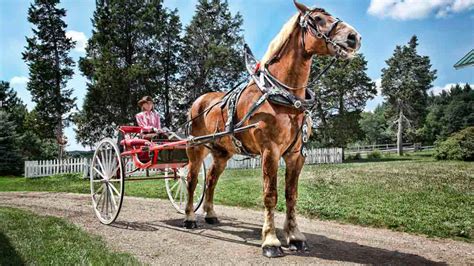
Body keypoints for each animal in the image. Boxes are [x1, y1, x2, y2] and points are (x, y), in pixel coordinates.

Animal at [183, 0, 362, 258]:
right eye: (317, 19)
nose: (354, 37)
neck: (283, 96)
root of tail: (199, 102)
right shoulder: (270, 151)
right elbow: (270, 195)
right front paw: (270, 241)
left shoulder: (296, 154)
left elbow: (291, 195)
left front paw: (295, 236)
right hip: (195, 149)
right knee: (192, 181)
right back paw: (189, 218)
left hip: (221, 153)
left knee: (211, 182)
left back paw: (210, 214)